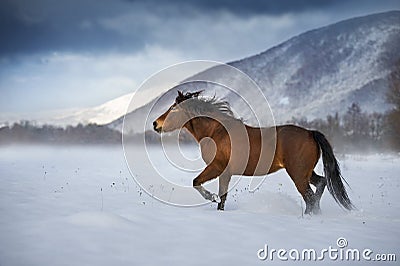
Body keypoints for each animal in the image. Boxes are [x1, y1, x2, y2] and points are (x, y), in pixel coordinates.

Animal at [152, 90, 354, 214]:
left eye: (173, 109)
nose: (155, 124)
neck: (216, 132)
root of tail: (310, 133)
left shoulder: (218, 167)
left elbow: (197, 183)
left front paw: (211, 197)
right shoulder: (225, 173)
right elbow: (222, 197)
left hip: (297, 174)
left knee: (310, 197)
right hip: (305, 172)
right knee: (321, 183)